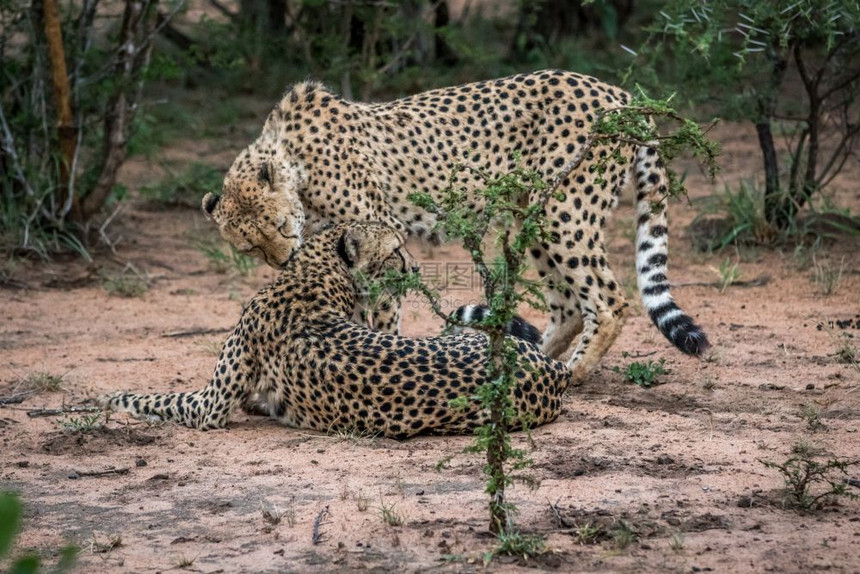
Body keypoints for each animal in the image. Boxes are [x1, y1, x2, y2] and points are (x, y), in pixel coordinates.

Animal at [205, 68, 708, 382]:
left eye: (278, 226)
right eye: (250, 248)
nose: (283, 258)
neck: (295, 162)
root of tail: (618, 94)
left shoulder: (381, 243)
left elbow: (380, 318)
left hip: (563, 209)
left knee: (608, 301)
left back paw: (570, 373)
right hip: (533, 211)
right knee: (567, 307)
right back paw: (525, 364)